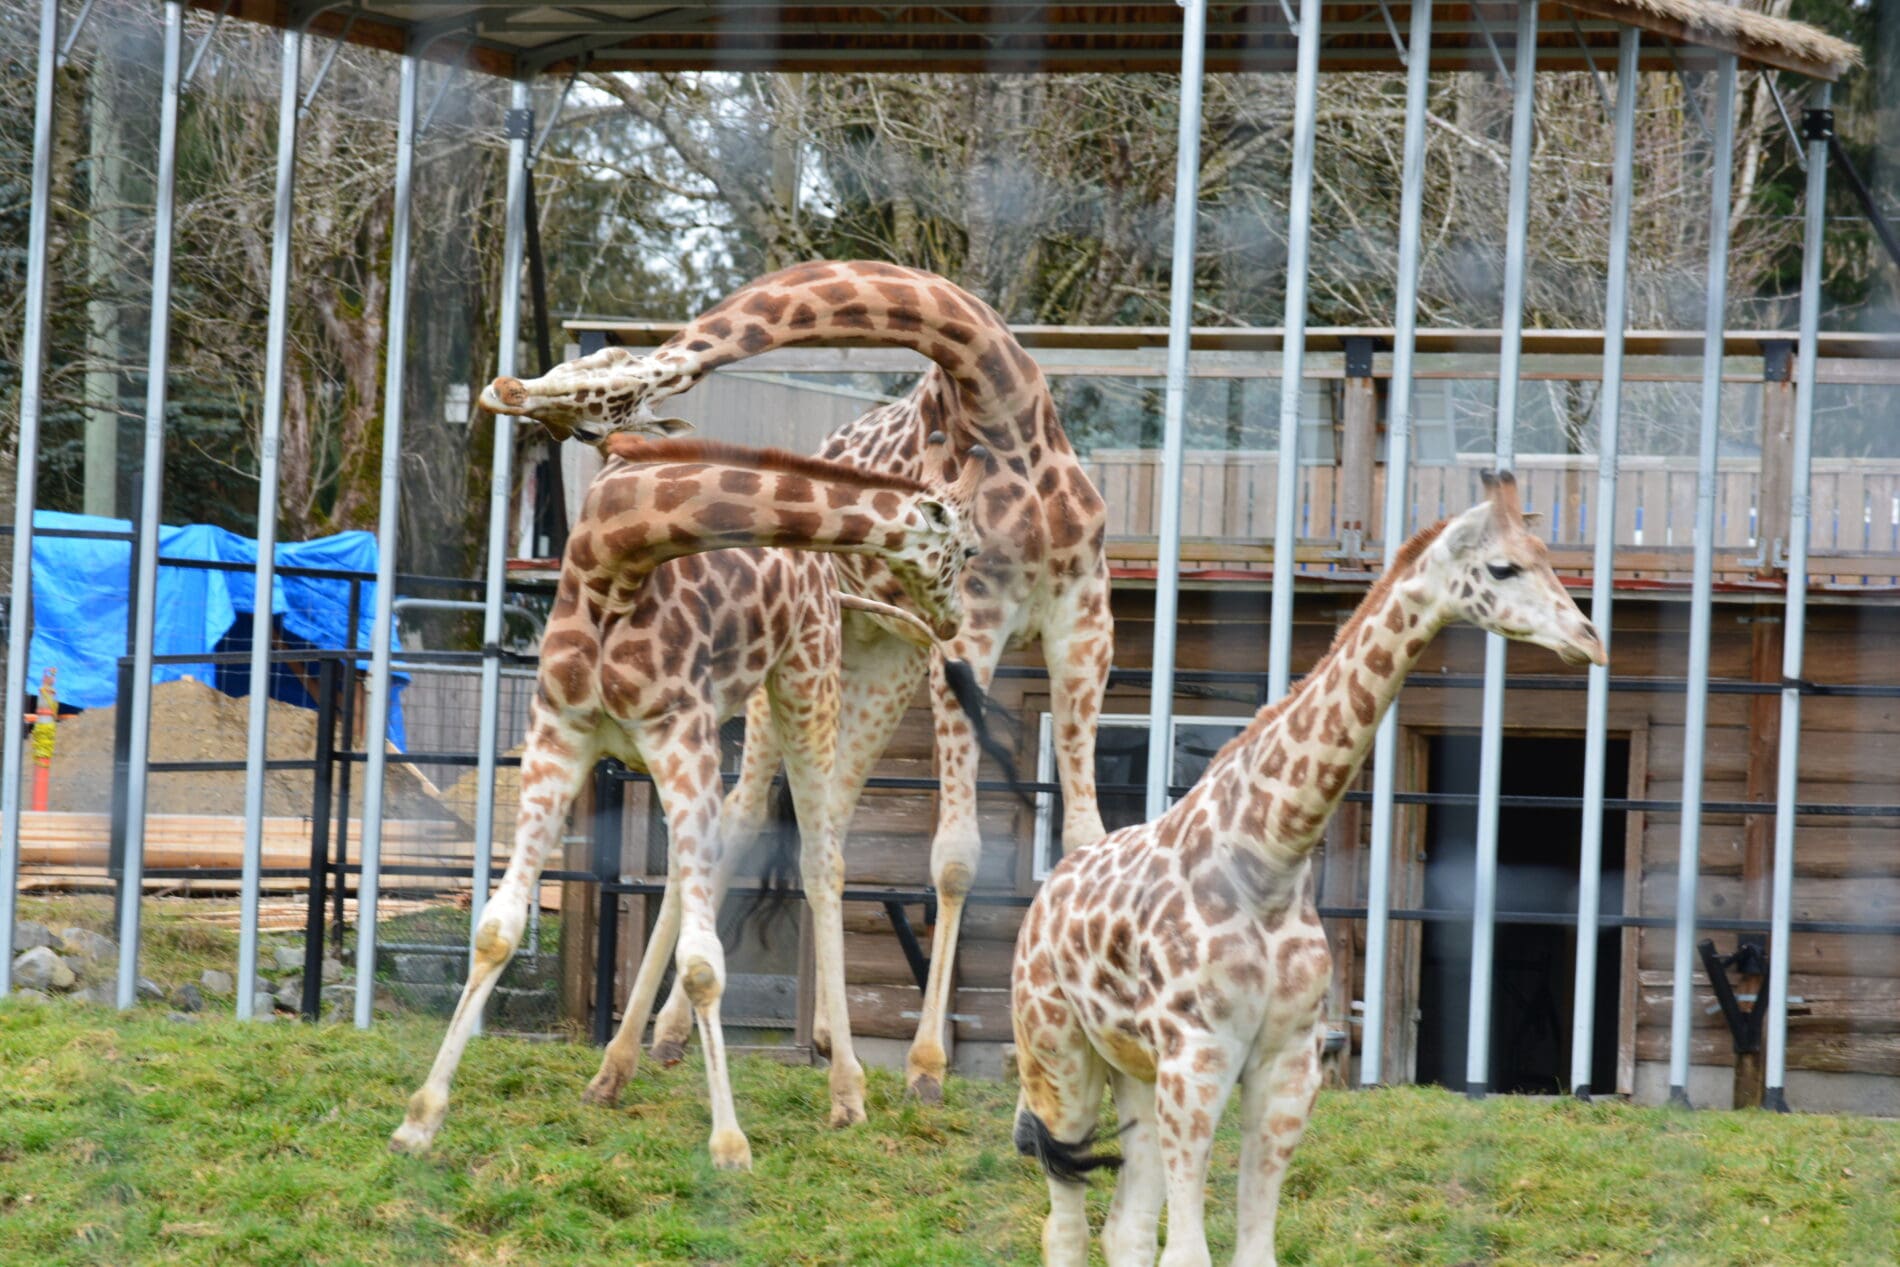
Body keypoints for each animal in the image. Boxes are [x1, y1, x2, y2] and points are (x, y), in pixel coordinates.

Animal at [385, 436, 980, 1170]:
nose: (952, 622)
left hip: (803, 684)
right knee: (699, 865)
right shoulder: (558, 736)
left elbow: (703, 963)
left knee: (822, 863)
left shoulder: (679, 732)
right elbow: (497, 928)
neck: (615, 560)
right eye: (967, 550)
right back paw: (613, 1070)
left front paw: (730, 1144)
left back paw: (848, 1091)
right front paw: (419, 1117)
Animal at [482, 260, 1117, 1101]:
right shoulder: (974, 631)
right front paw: (926, 1066)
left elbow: (1084, 838)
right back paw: (657, 1038)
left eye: (604, 385)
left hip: (880, 660)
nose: (507, 389)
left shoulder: (1085, 622)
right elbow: (955, 856)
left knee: (830, 817)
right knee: (741, 816)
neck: (1008, 407)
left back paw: (814, 1035)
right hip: (801, 676)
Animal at [1010, 474, 1603, 1267]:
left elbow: (1252, 1247)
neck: (1270, 858)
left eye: (1549, 558)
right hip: (1057, 1053)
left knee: (1123, 1226)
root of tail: (1049, 890)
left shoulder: (1288, 1063)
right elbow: (1189, 1252)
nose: (1590, 641)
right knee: (1066, 1223)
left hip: (1132, 1067)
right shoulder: (1198, 1056)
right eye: (1504, 568)